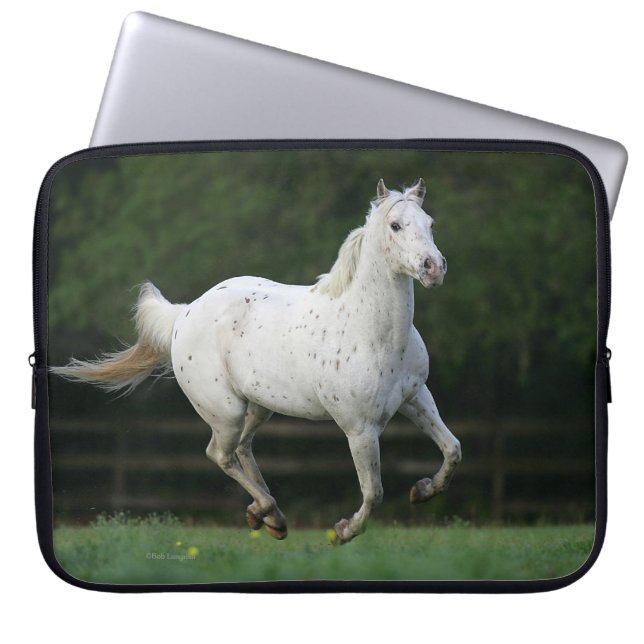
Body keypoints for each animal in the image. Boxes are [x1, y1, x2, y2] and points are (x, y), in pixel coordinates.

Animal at [52, 178, 462, 544]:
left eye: (429, 223)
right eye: (395, 225)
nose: (434, 267)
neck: (371, 331)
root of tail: (185, 313)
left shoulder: (415, 397)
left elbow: (452, 449)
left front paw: (423, 490)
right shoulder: (360, 429)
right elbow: (374, 491)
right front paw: (343, 532)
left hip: (259, 407)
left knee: (242, 449)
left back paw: (268, 516)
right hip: (227, 412)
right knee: (220, 453)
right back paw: (269, 513)